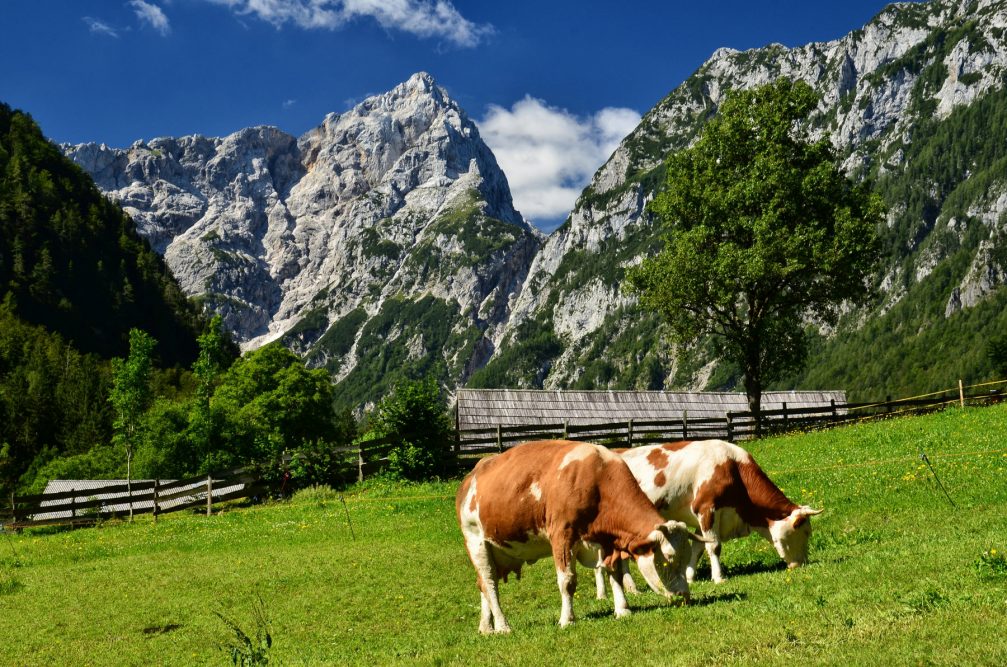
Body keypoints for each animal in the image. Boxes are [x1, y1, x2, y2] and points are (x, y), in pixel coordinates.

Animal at [459, 441, 708, 636]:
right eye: (667, 559)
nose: (684, 595)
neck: (598, 480)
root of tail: (472, 475)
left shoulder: (608, 541)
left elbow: (615, 573)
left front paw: (623, 609)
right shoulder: (562, 535)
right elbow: (567, 581)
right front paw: (567, 619)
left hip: (496, 551)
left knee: (483, 583)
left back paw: (486, 627)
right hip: (476, 542)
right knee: (490, 583)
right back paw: (503, 626)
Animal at [592, 439, 821, 596]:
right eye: (805, 532)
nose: (802, 563)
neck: (733, 467)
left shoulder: (700, 520)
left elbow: (698, 548)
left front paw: (691, 576)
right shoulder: (706, 509)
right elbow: (714, 546)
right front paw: (719, 578)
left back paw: (625, 590)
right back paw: (611, 593)